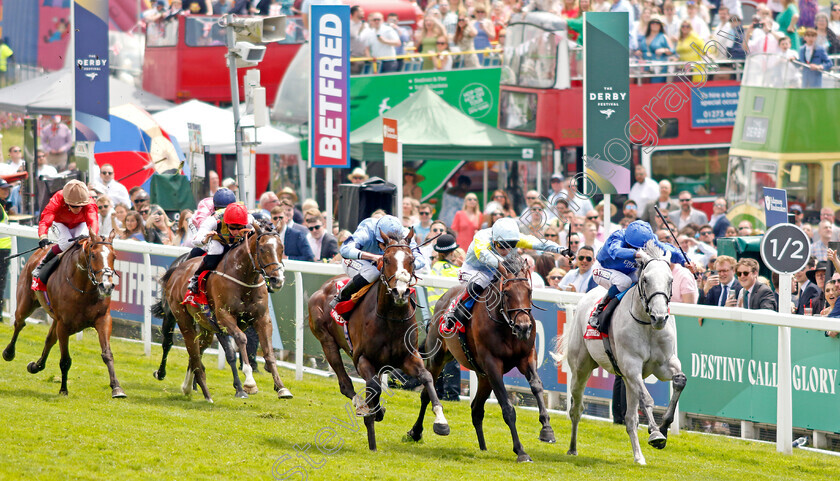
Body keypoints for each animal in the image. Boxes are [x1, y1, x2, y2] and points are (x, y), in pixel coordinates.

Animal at [1, 231, 125, 396]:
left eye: (114, 256)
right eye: (93, 255)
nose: (106, 286)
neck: (83, 289)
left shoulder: (103, 319)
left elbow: (107, 354)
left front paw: (117, 388)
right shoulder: (64, 325)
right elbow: (65, 360)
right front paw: (63, 389)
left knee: (49, 339)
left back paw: (36, 366)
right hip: (26, 303)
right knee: (19, 323)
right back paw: (9, 352)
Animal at [152, 221, 292, 402]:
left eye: (281, 249)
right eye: (262, 249)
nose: (277, 280)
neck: (244, 279)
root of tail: (177, 269)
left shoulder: (262, 318)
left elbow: (268, 352)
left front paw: (281, 388)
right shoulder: (224, 318)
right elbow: (241, 340)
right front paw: (248, 383)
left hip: (205, 326)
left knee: (197, 351)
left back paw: (189, 386)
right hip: (179, 318)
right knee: (177, 345)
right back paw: (170, 377)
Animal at [308, 229, 450, 450]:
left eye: (411, 260)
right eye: (387, 259)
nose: (400, 291)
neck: (390, 319)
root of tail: (323, 288)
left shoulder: (408, 357)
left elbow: (426, 377)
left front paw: (440, 421)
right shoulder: (362, 359)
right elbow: (373, 386)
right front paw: (373, 419)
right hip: (327, 341)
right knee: (345, 383)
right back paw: (361, 404)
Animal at [408, 256, 556, 464]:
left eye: (529, 291)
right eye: (507, 293)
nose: (524, 327)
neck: (505, 325)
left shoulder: (526, 357)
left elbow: (536, 386)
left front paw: (547, 430)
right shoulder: (493, 365)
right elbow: (507, 408)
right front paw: (521, 451)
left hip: (483, 376)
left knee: (476, 409)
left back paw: (483, 447)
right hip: (439, 358)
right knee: (426, 395)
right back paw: (417, 431)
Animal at [556, 242, 684, 464]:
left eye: (671, 280)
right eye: (645, 279)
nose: (660, 317)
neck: (647, 324)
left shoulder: (664, 364)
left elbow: (679, 381)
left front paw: (664, 428)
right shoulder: (631, 365)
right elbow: (648, 399)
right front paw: (656, 433)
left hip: (627, 379)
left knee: (630, 419)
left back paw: (639, 457)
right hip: (581, 368)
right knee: (576, 409)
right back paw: (572, 448)